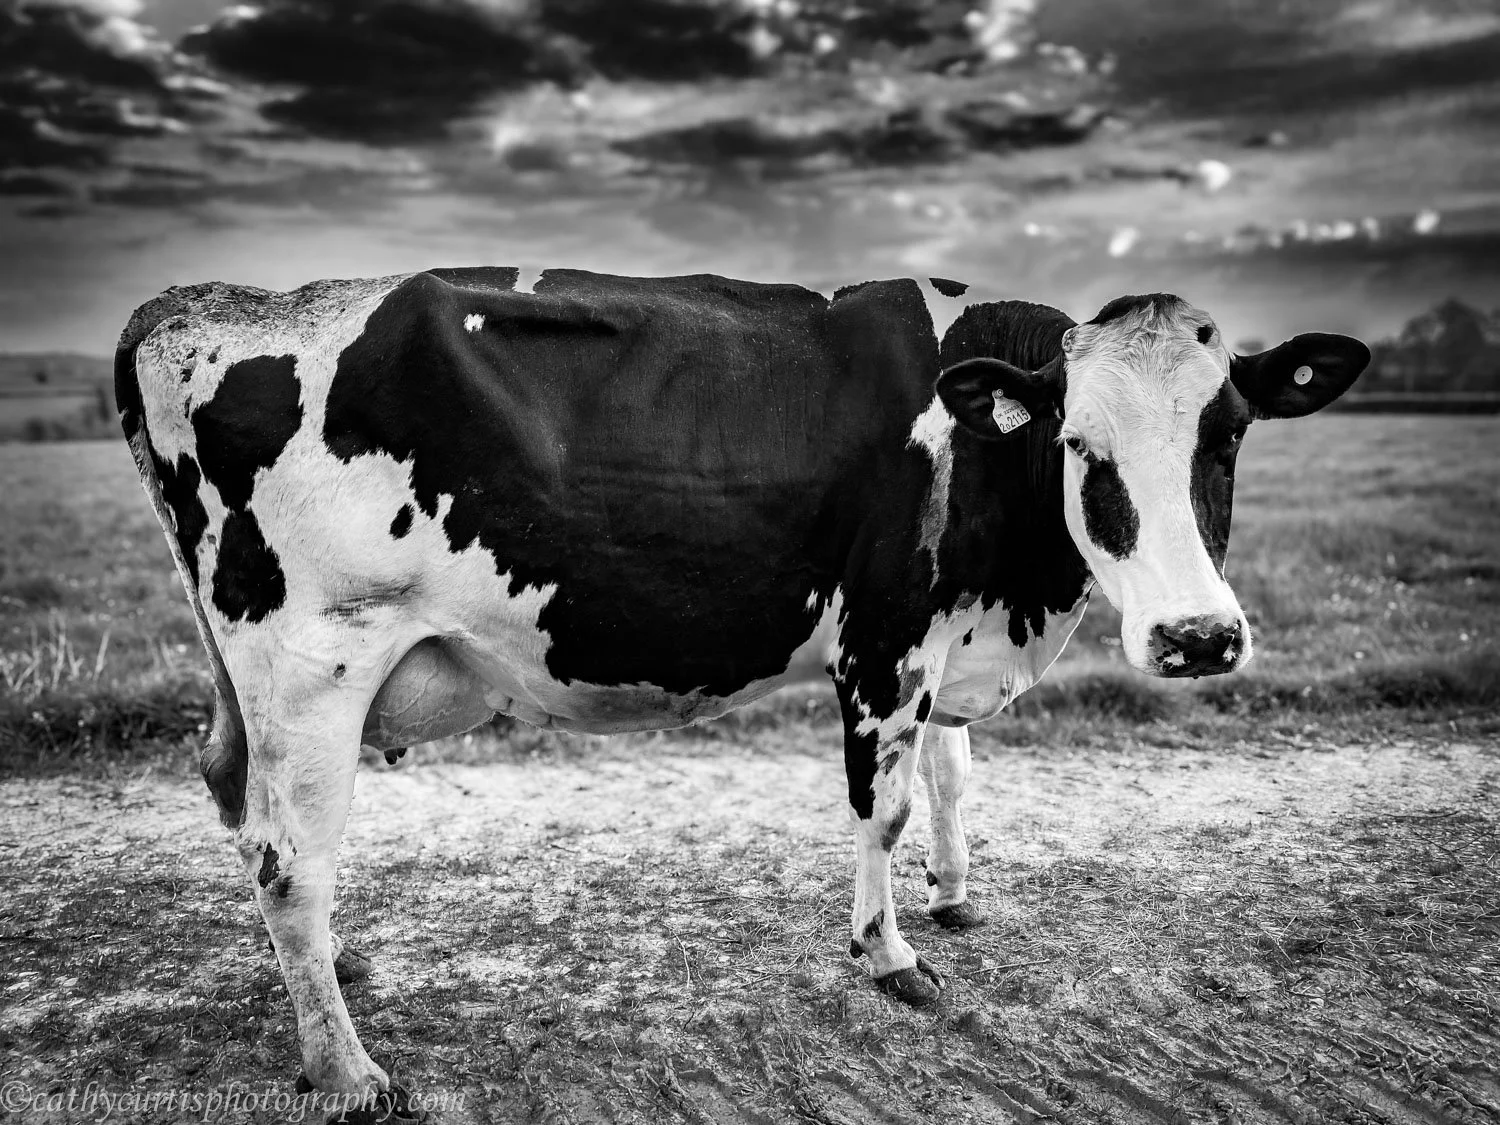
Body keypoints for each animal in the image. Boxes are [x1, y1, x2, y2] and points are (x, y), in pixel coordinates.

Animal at [116, 268, 1368, 1110]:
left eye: (1228, 434)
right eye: (1080, 445)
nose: (1198, 637)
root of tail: (195, 305)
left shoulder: (944, 634)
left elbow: (954, 777)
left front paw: (956, 897)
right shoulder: (885, 636)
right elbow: (885, 804)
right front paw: (890, 954)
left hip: (253, 682)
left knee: (241, 807)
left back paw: (331, 972)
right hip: (312, 665)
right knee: (288, 863)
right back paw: (346, 1067)